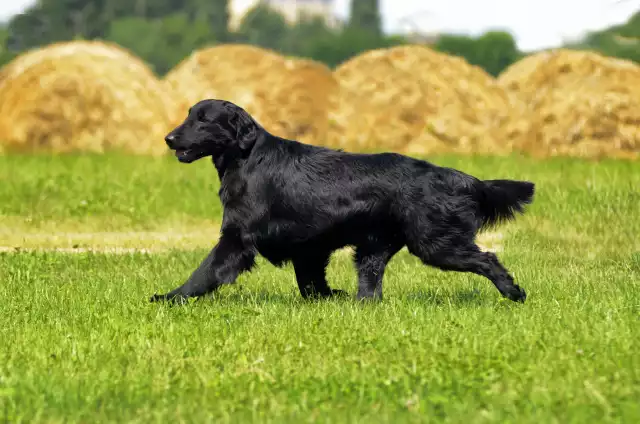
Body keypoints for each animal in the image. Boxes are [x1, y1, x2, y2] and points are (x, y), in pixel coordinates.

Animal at [150, 99, 536, 304]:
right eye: (188, 115)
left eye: (204, 119)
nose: (168, 138)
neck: (246, 159)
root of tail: (451, 174)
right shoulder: (308, 246)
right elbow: (310, 283)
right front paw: (328, 298)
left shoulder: (237, 238)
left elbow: (205, 272)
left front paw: (170, 297)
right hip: (373, 249)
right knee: (371, 287)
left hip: (434, 244)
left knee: (488, 258)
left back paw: (513, 292)